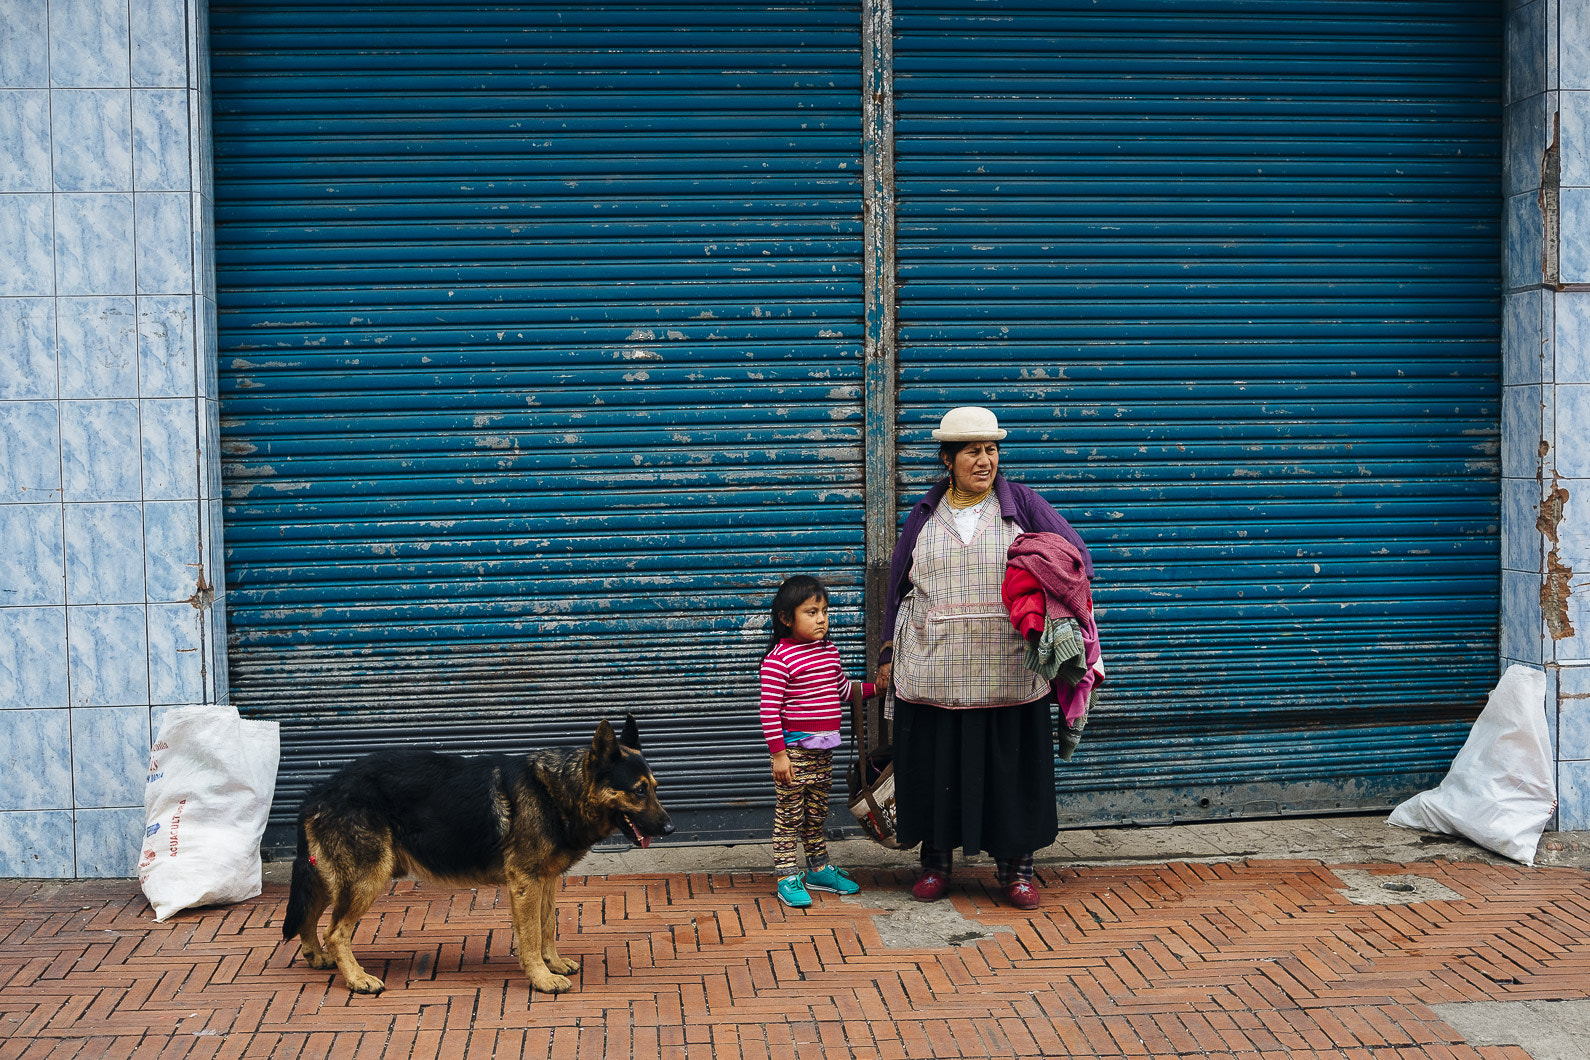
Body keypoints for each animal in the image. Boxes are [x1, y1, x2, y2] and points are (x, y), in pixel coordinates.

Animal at [283, 711, 667, 998]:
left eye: (655, 788)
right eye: (638, 791)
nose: (670, 827)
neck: (558, 790)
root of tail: (322, 789)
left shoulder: (545, 881)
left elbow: (548, 926)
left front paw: (553, 964)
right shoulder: (525, 884)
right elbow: (530, 935)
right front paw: (541, 978)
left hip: (333, 878)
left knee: (309, 917)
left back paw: (317, 957)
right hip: (366, 879)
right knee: (336, 932)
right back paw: (357, 978)